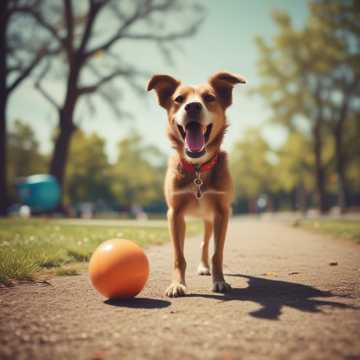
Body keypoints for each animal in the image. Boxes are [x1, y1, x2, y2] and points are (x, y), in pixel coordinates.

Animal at [146, 71, 245, 296]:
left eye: (209, 97)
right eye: (179, 99)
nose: (192, 106)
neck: (198, 168)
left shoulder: (222, 213)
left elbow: (217, 253)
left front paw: (220, 280)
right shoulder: (174, 214)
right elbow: (178, 256)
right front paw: (177, 284)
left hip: (210, 219)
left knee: (205, 243)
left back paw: (204, 267)